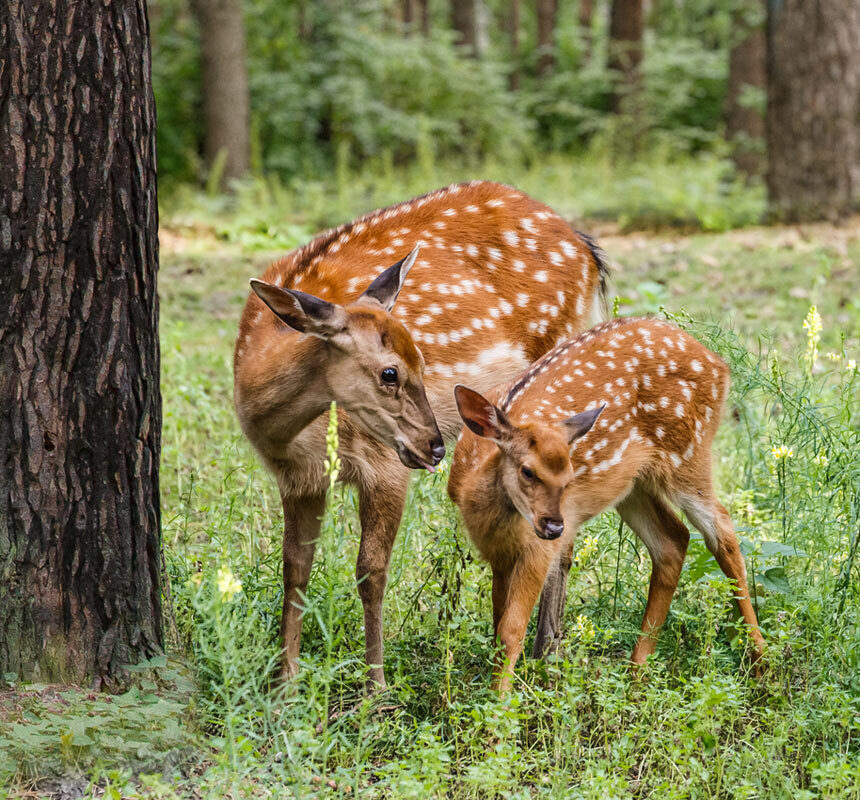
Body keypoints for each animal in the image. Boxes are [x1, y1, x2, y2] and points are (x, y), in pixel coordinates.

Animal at [233, 180, 609, 690]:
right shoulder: (297, 478)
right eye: (389, 372)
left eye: (424, 361)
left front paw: (376, 690)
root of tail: (586, 247)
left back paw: (547, 653)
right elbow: (295, 568)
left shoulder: (383, 462)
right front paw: (284, 683)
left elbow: (370, 571)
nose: (433, 448)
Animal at [447, 316, 766, 694]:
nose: (555, 526)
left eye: (569, 476)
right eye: (527, 470)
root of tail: (720, 364)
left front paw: (499, 703)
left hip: (688, 455)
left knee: (724, 531)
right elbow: (498, 626)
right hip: (633, 484)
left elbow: (511, 630)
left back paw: (762, 663)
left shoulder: (537, 551)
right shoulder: (497, 554)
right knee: (674, 540)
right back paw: (637, 670)